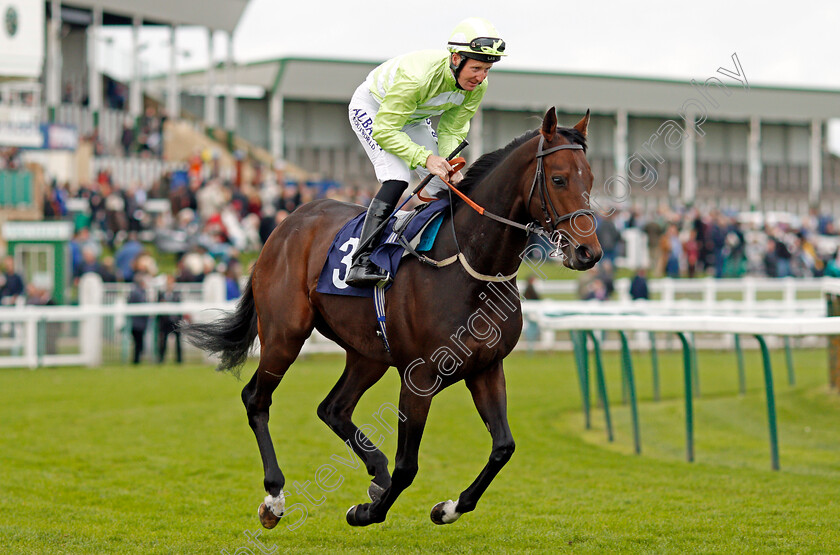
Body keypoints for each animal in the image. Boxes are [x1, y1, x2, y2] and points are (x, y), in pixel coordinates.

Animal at [185, 106, 604, 528]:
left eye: (590, 179)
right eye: (559, 178)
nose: (589, 253)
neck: (469, 265)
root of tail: (288, 222)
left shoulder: (487, 368)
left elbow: (503, 447)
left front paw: (447, 508)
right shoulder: (419, 377)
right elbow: (408, 466)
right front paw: (366, 512)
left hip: (368, 353)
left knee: (333, 408)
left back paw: (375, 473)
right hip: (284, 334)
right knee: (256, 399)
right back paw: (274, 497)